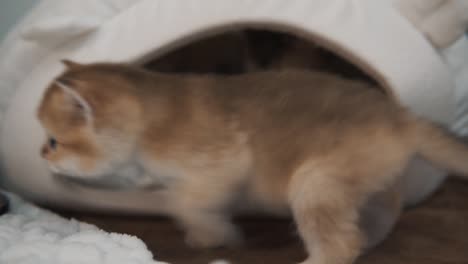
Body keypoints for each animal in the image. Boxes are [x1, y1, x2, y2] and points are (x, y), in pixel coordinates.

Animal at [38, 60, 468, 262]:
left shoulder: (222, 163)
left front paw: (218, 237)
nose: (42, 155)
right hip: (359, 182)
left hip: (313, 181)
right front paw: (208, 234)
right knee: (380, 212)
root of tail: (400, 115)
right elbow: (187, 203)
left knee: (343, 244)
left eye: (54, 141)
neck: (153, 117)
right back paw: (373, 236)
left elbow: (184, 204)